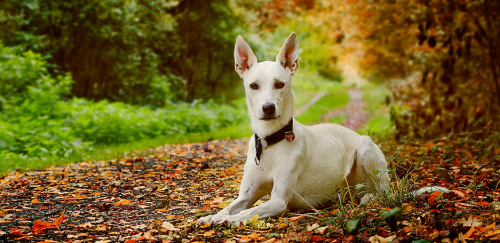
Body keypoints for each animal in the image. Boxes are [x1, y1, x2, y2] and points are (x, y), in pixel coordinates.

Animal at [198, 32, 390, 226]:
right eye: (253, 85)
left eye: (279, 84)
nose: (268, 108)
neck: (270, 141)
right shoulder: (246, 195)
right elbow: (229, 207)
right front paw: (211, 216)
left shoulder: (278, 200)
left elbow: (248, 212)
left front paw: (228, 220)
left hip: (365, 146)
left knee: (383, 191)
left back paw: (370, 197)